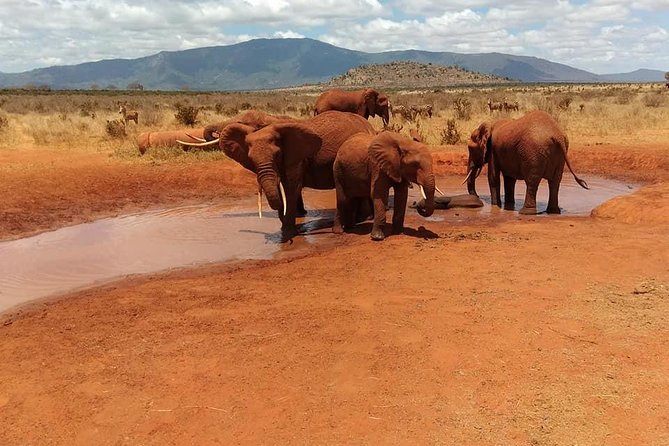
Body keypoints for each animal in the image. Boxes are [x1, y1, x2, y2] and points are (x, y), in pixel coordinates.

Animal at [219, 111, 375, 240]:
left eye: (277, 155)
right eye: (251, 159)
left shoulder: (297, 159)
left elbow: (290, 190)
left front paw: (287, 234)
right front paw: (286, 231)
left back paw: (363, 218)